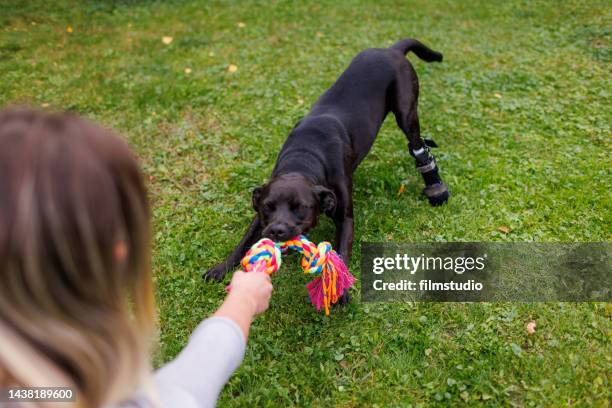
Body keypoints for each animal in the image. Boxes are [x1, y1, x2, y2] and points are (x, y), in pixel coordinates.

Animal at [206, 38, 450, 290]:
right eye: (267, 207)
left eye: (300, 207)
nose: (276, 230)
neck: (304, 158)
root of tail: (392, 49)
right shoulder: (260, 217)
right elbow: (243, 242)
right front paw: (221, 268)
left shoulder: (345, 218)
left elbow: (341, 255)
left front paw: (340, 292)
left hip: (406, 111)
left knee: (418, 145)